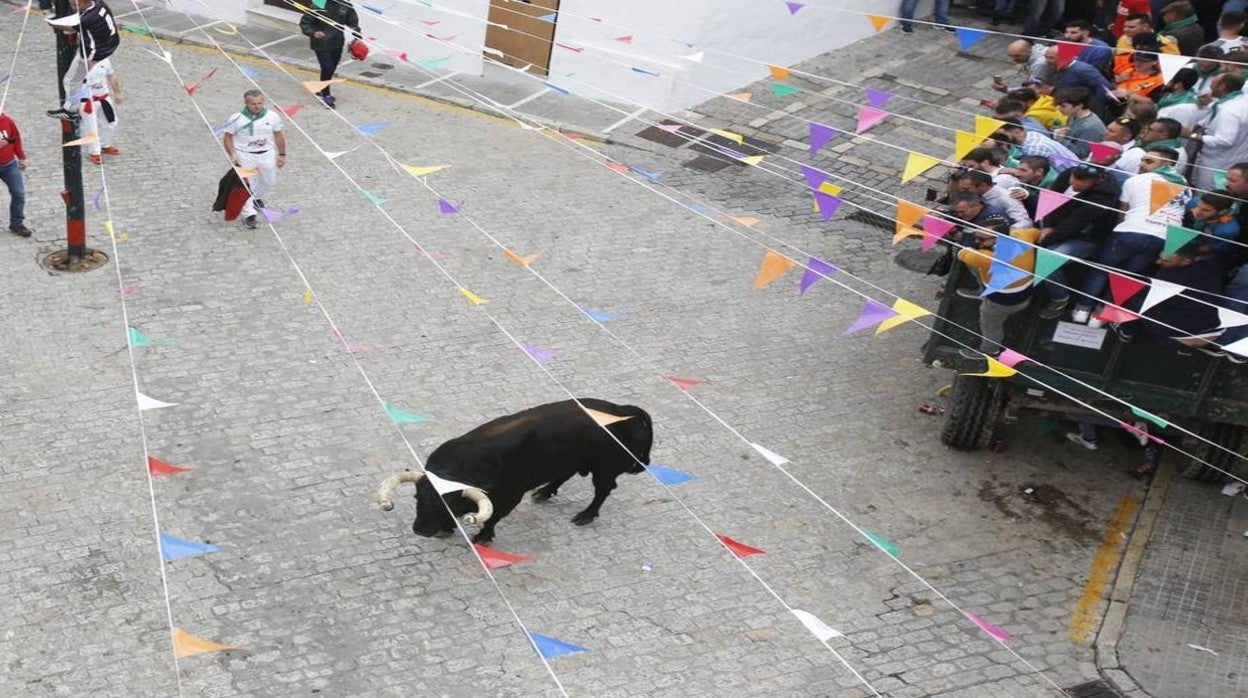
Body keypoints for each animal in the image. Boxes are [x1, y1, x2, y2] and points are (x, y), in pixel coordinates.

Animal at [371, 402, 653, 544]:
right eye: (418, 499)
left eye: (446, 505)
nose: (421, 530)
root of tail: (623, 409)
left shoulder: (510, 495)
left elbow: (494, 517)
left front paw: (483, 537)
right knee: (565, 473)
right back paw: (544, 492)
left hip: (604, 468)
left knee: (603, 490)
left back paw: (585, 515)